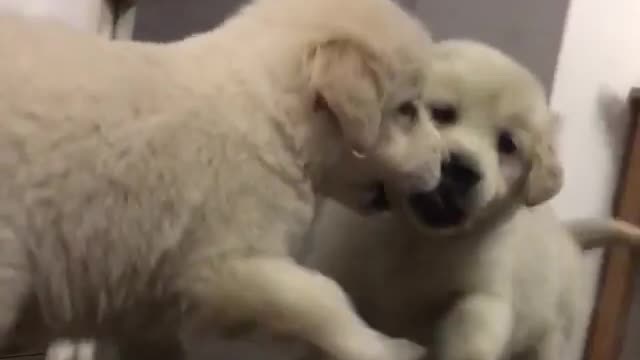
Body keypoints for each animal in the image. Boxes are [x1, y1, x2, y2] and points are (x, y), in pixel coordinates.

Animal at [0, 0, 442, 360]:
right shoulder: (225, 265)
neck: (273, 116)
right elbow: (324, 298)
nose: (445, 158)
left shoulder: (150, 312)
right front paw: (385, 348)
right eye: (407, 110)